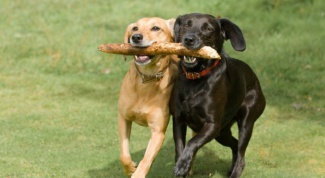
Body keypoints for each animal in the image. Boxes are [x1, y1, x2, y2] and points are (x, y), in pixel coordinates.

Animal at [170, 13, 266, 177]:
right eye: (186, 25)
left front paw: (183, 164)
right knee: (235, 145)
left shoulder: (212, 125)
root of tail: (254, 77)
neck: (195, 79)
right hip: (222, 133)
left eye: (208, 29)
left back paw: (235, 172)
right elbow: (179, 148)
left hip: (245, 123)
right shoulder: (178, 120)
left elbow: (192, 142)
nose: (189, 39)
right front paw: (182, 165)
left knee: (241, 156)